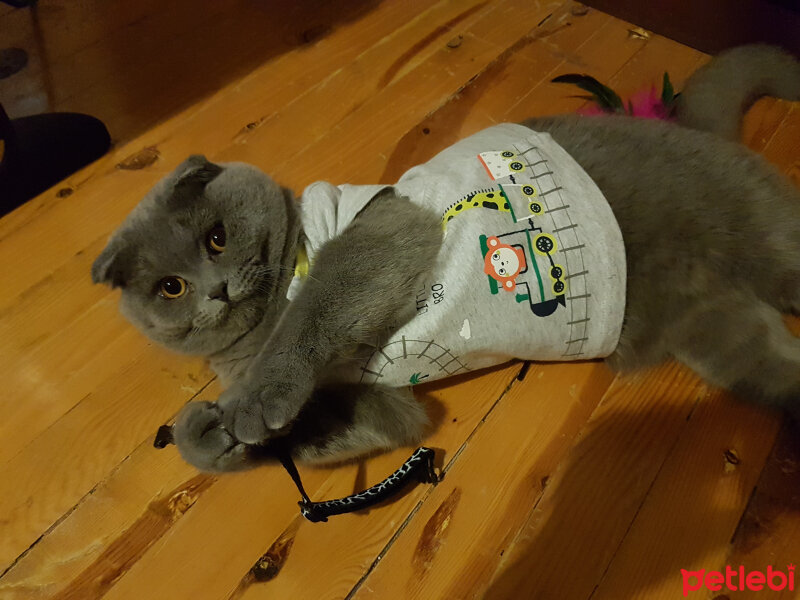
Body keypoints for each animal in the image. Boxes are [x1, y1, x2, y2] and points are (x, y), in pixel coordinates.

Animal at [95, 44, 800, 472]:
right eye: (170, 288)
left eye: (216, 238)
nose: (213, 289)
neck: (251, 338)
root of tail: (684, 126)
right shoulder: (379, 405)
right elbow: (354, 428)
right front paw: (212, 437)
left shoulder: (382, 229)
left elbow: (316, 307)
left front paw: (251, 404)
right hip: (728, 341)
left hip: (766, 241)